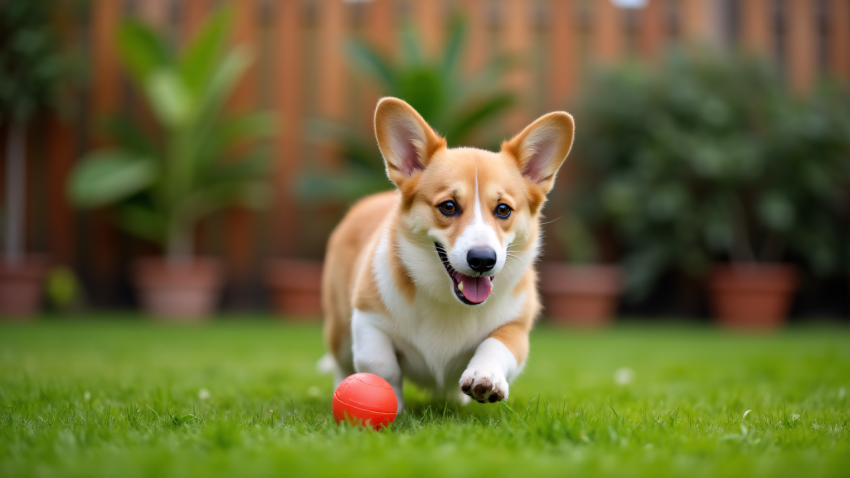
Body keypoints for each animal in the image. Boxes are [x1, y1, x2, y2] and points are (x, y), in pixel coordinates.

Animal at [322, 98, 572, 410]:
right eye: (448, 206)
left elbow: (496, 344)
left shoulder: (516, 325)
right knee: (341, 362)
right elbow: (380, 365)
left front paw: (485, 377)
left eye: (503, 209)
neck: (451, 303)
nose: (482, 260)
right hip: (340, 330)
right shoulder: (367, 318)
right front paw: (391, 403)